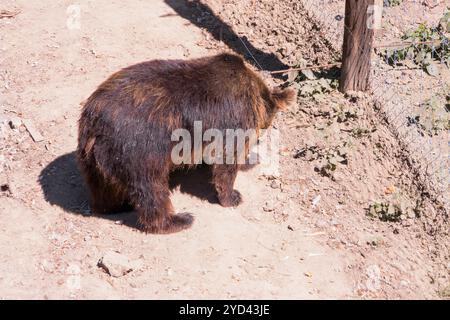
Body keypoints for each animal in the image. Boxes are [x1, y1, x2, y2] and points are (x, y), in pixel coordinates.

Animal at [77, 52, 296, 232]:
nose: (259, 138)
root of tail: (96, 123)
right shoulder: (232, 119)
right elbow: (227, 158)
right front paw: (232, 195)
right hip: (140, 147)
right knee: (151, 187)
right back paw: (178, 220)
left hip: (93, 155)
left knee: (102, 186)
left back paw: (114, 205)